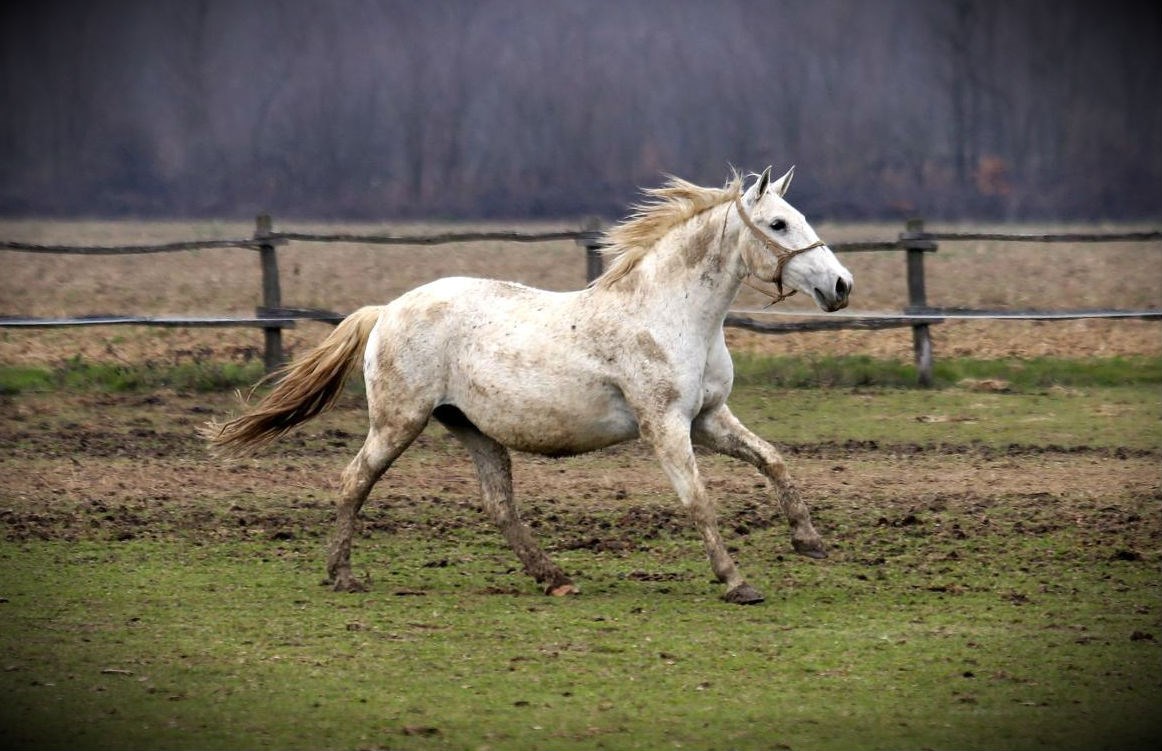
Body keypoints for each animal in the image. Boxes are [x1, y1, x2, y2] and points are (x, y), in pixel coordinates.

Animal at [204, 167, 850, 604]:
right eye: (778, 222)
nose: (841, 285)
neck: (670, 313)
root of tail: (386, 310)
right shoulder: (664, 425)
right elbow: (699, 499)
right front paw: (737, 582)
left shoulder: (708, 417)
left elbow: (774, 460)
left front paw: (810, 542)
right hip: (397, 422)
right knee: (353, 481)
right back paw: (342, 575)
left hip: (473, 429)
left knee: (499, 506)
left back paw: (555, 577)